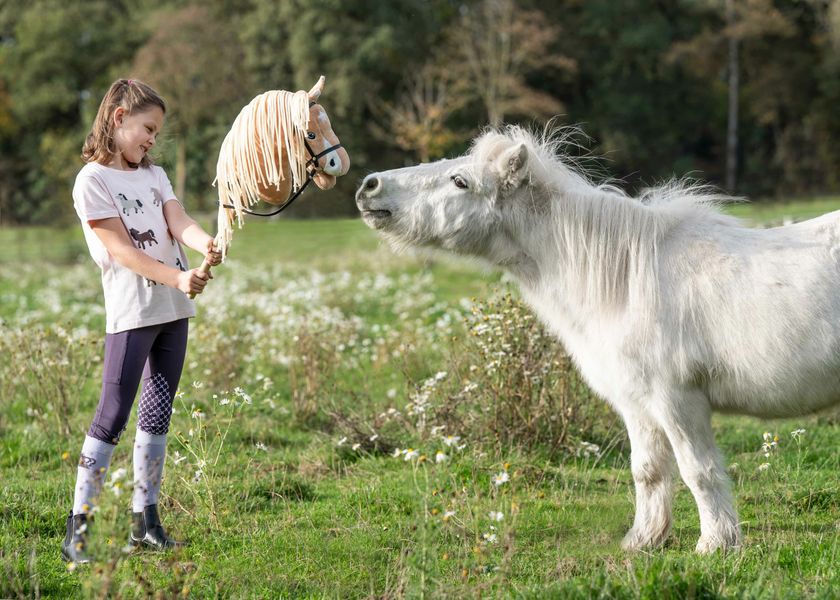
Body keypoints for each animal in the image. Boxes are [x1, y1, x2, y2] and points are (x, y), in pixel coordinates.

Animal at [358, 126, 840, 552]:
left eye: (460, 181)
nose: (369, 186)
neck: (628, 278)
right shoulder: (638, 403)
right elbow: (648, 471)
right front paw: (644, 541)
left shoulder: (677, 400)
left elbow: (697, 471)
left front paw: (715, 544)